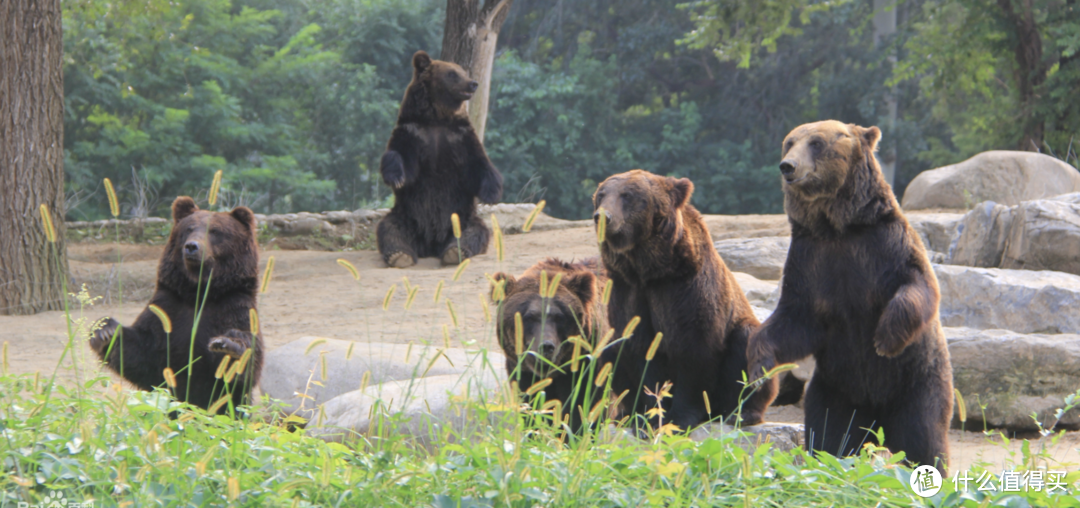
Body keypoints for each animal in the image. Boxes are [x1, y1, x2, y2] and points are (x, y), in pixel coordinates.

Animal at [90, 194, 263, 412]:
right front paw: (105, 331)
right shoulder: (168, 308)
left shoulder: (234, 306)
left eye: (215, 231)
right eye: (189, 228)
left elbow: (248, 358)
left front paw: (226, 344)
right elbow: (142, 352)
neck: (199, 294)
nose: (191, 246)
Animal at [375, 49, 501, 268]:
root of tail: (431, 244)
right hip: (407, 216)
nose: (473, 83)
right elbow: (400, 159)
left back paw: (455, 252)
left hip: (461, 217)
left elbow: (479, 165)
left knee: (475, 231)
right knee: (390, 229)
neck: (436, 118)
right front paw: (396, 177)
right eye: (452, 74)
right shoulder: (413, 133)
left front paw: (491, 195)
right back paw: (399, 255)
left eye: (463, 72)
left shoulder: (460, 138)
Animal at [490, 258, 609, 428]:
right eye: (529, 317)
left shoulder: (586, 365)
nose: (546, 346)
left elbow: (582, 408)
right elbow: (530, 405)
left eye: (559, 317)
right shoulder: (523, 370)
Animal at [591, 170, 777, 432]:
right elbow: (643, 351)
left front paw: (679, 418)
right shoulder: (629, 292)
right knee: (609, 350)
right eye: (601, 194)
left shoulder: (685, 289)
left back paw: (742, 412)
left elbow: (694, 350)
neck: (648, 269)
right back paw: (626, 414)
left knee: (749, 348)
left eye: (627, 195)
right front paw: (651, 417)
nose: (603, 217)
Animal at [751, 121, 954, 473]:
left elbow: (918, 285)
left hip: (917, 383)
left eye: (816, 142)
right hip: (835, 389)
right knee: (830, 438)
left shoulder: (884, 244)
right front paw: (757, 369)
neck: (837, 228)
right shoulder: (810, 261)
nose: (788, 166)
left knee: (924, 440)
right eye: (790, 142)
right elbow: (794, 321)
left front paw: (885, 338)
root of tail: (877, 418)